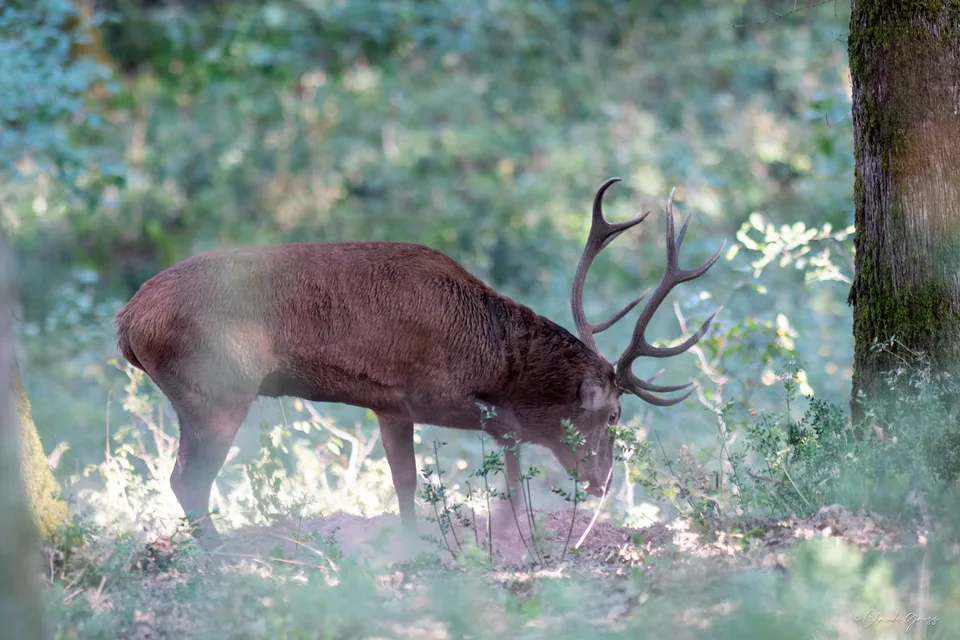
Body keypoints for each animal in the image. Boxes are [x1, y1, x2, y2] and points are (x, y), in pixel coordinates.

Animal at [115, 177, 724, 552]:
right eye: (615, 414)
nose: (603, 483)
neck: (494, 356)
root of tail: (126, 324)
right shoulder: (437, 393)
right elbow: (508, 441)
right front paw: (513, 530)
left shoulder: (391, 405)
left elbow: (404, 481)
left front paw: (415, 545)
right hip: (217, 388)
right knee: (187, 480)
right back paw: (224, 557)